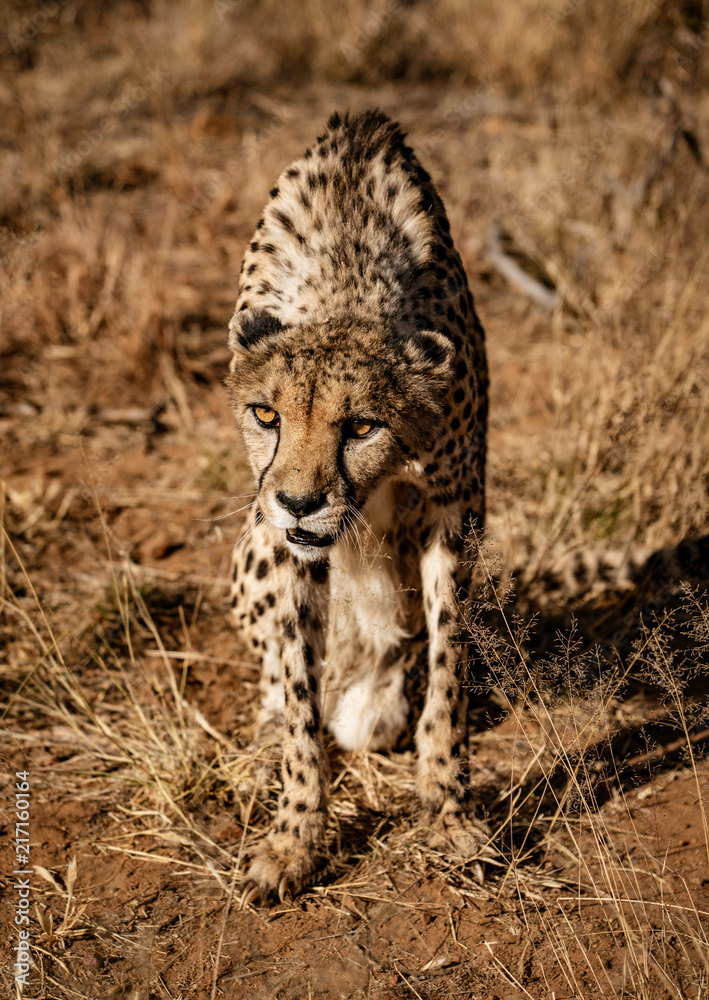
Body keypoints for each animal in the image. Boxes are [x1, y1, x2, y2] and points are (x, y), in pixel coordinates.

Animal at [226, 110, 489, 904]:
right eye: (266, 414)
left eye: (362, 426)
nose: (298, 502)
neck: (345, 281)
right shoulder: (282, 545)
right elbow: (297, 699)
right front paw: (295, 839)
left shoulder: (454, 506)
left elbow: (448, 670)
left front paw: (447, 809)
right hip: (250, 544)